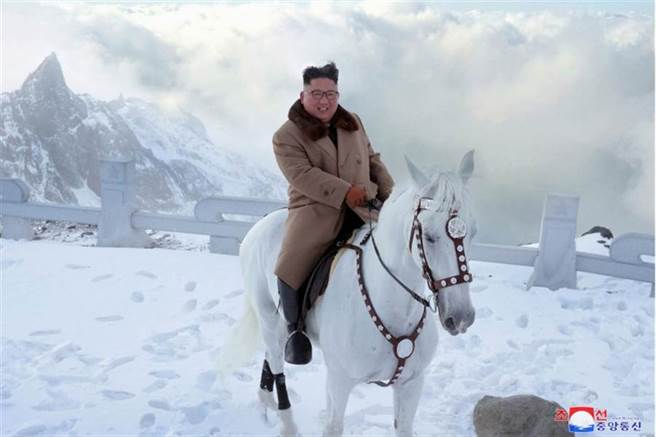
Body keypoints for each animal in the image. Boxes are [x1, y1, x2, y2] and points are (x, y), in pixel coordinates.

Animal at [227, 152, 477, 436]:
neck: (392, 305)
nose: (461, 317)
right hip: (267, 314)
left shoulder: (412, 383)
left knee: (272, 354)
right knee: (277, 362)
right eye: (429, 236)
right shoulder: (339, 382)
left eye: (473, 233)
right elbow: (334, 427)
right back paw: (287, 423)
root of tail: (261, 222)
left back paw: (265, 400)